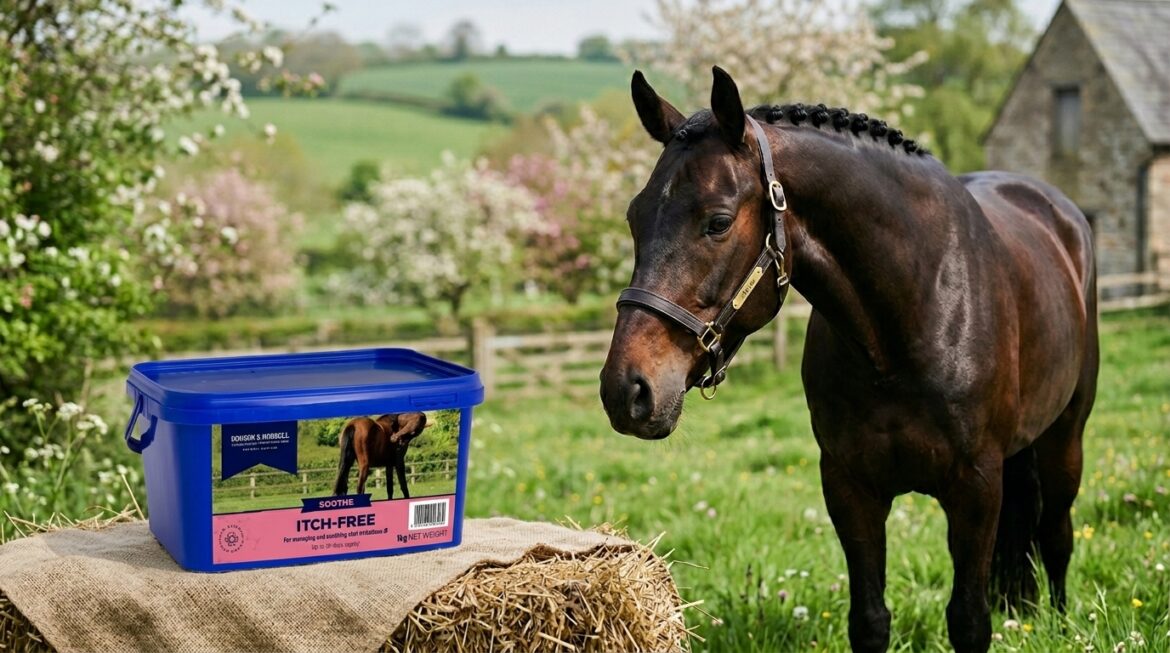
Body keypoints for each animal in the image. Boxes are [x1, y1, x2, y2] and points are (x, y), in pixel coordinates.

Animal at [599, 67, 1098, 653]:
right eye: (634, 217)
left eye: (717, 222)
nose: (626, 390)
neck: (908, 322)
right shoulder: (849, 486)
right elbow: (870, 620)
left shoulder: (975, 487)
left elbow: (969, 621)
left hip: (1065, 436)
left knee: (1057, 531)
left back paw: (1059, 620)